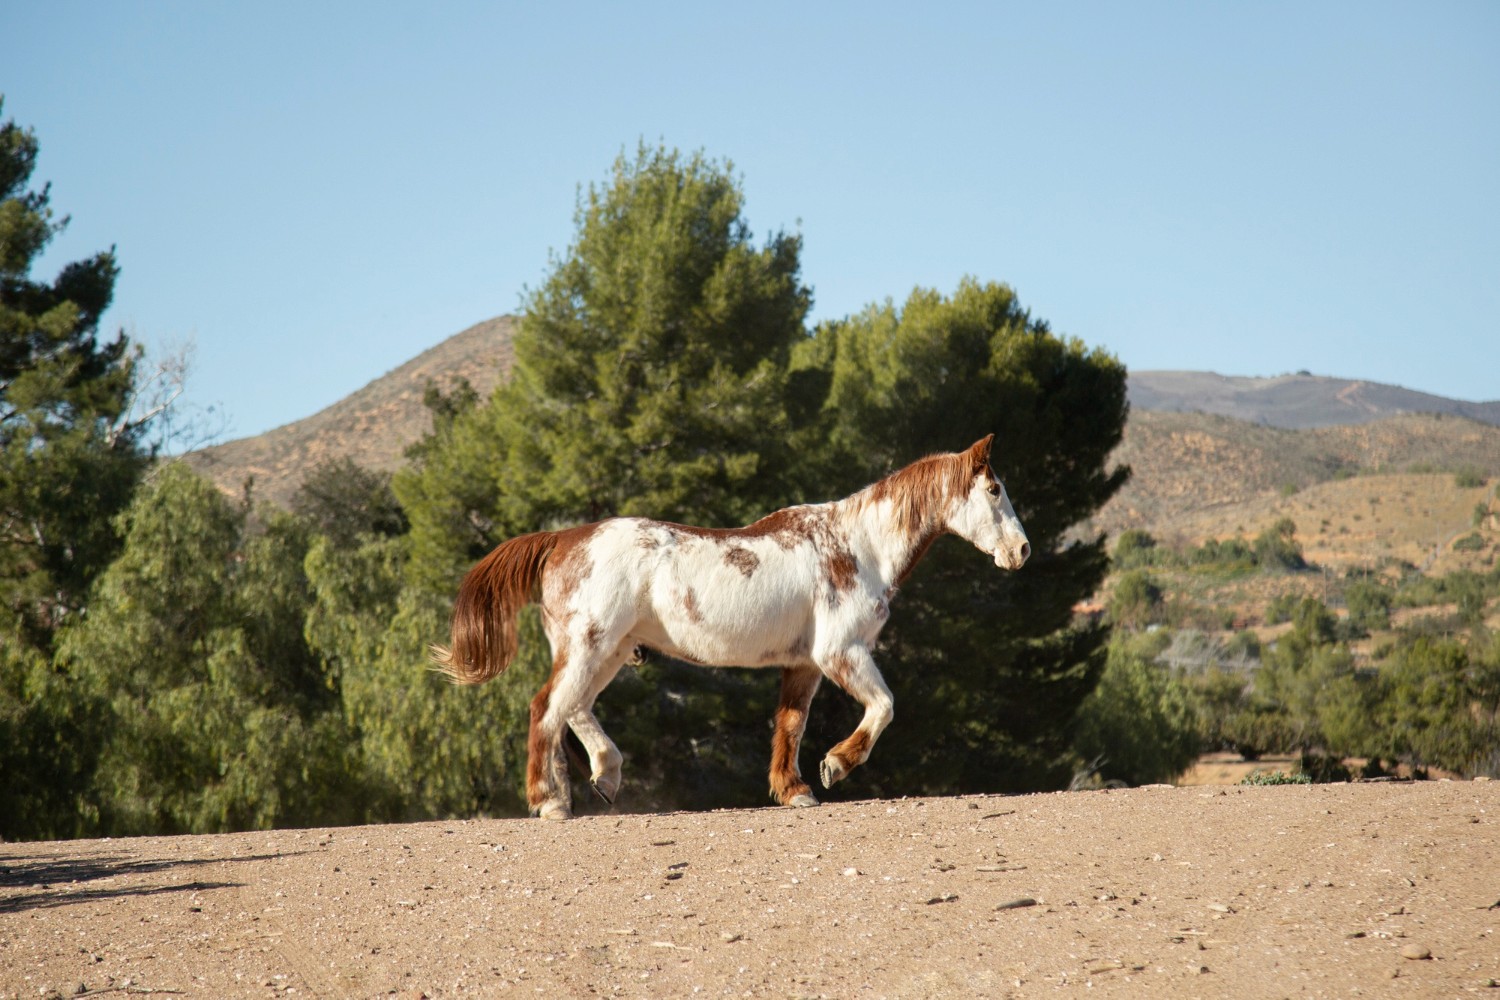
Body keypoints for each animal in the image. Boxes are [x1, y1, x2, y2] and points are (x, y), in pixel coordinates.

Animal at [431, 435, 1030, 820]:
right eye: (995, 489)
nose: (1022, 551)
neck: (858, 546)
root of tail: (562, 538)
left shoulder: (804, 664)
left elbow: (790, 725)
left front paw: (794, 790)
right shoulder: (842, 651)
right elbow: (883, 707)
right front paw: (836, 765)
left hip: (610, 651)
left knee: (571, 709)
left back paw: (603, 777)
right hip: (590, 647)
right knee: (547, 709)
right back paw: (549, 800)